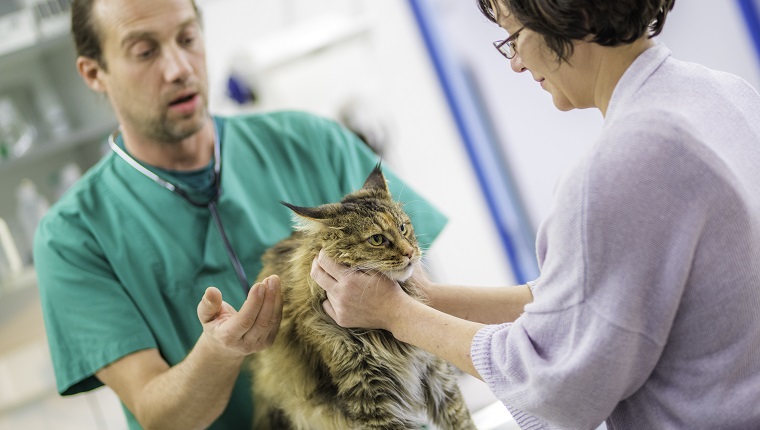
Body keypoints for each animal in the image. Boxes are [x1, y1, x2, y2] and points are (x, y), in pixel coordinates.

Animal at [249, 163, 476, 428]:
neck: (382, 336)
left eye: (403, 227)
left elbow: (463, 421)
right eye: (377, 239)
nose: (410, 252)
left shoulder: (437, 375)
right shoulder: (371, 399)